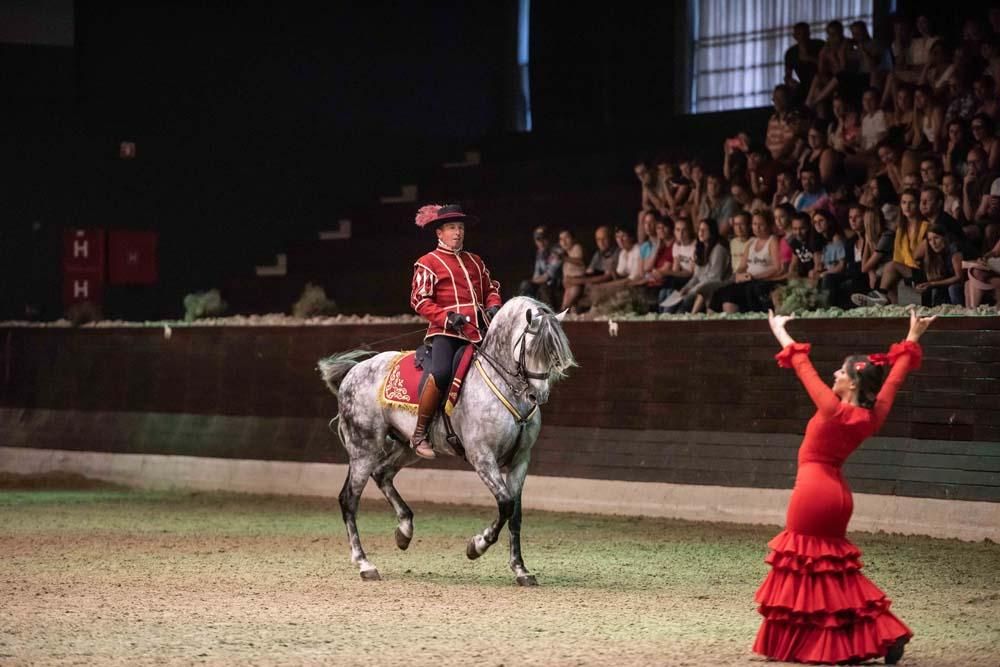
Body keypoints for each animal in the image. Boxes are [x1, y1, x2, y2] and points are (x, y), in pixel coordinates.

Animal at [316, 298, 576, 584]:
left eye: (554, 352)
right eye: (530, 348)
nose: (537, 396)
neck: (504, 386)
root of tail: (354, 371)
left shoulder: (520, 460)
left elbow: (515, 515)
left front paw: (521, 569)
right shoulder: (482, 457)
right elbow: (505, 504)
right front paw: (476, 546)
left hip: (408, 448)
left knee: (382, 474)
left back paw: (404, 532)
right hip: (364, 449)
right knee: (349, 499)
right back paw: (365, 564)